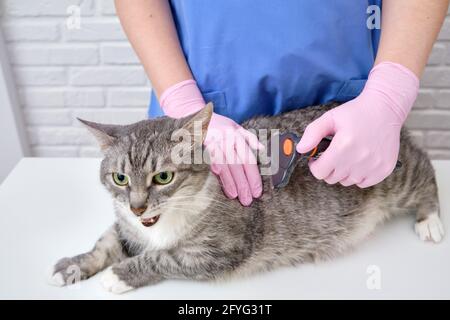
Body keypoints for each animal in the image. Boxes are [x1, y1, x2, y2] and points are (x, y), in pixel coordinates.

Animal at [48, 102, 442, 292]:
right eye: (120, 178)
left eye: (163, 177)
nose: (138, 205)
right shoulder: (127, 226)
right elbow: (107, 241)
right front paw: (73, 264)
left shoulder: (219, 251)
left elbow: (162, 258)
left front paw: (120, 274)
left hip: (395, 177)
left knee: (424, 169)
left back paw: (430, 219)